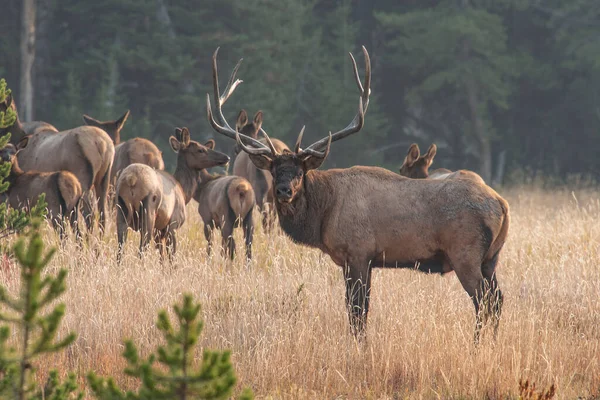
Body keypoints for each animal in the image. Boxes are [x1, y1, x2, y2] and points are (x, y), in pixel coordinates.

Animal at [115, 126, 230, 260]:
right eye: (200, 150)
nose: (226, 157)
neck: (184, 192)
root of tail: (131, 179)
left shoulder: (159, 230)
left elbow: (161, 256)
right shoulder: (173, 224)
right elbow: (172, 256)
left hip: (121, 210)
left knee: (120, 249)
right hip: (148, 212)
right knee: (142, 249)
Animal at [207, 45, 510, 342]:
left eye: (300, 171)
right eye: (274, 168)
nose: (283, 190)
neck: (324, 214)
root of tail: (502, 205)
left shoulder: (358, 252)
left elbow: (357, 310)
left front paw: (359, 346)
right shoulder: (358, 260)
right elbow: (355, 309)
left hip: (465, 253)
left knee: (483, 300)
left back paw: (477, 345)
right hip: (490, 259)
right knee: (497, 299)